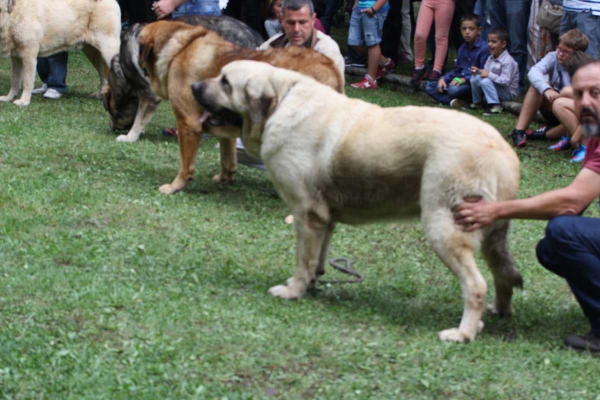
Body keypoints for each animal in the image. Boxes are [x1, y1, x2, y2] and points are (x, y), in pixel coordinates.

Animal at [135, 21, 342, 195]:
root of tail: (331, 67)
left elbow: (185, 164)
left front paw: (175, 186)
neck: (179, 49)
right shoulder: (222, 125)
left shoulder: (187, 123)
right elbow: (227, 158)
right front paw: (225, 178)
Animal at [193, 61, 524, 342]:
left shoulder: (306, 215)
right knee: (504, 273)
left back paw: (462, 333)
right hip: (493, 233)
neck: (280, 103)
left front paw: (293, 291)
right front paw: (311, 284)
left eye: (225, 82)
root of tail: (501, 151)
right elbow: (317, 260)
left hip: (443, 228)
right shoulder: (324, 219)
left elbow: (303, 260)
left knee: (476, 286)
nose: (194, 85)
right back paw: (498, 312)